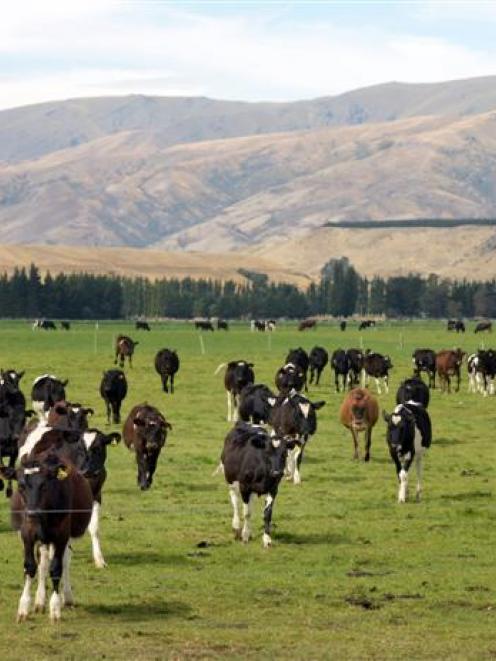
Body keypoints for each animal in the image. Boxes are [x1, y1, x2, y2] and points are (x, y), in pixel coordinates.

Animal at [1, 452, 92, 620]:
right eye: (21, 486)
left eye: (44, 485)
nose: (32, 513)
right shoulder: (27, 534)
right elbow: (30, 567)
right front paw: (24, 606)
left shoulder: (61, 536)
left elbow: (56, 569)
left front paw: (55, 607)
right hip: (43, 541)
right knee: (43, 563)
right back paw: (39, 600)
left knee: (64, 561)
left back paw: (66, 597)